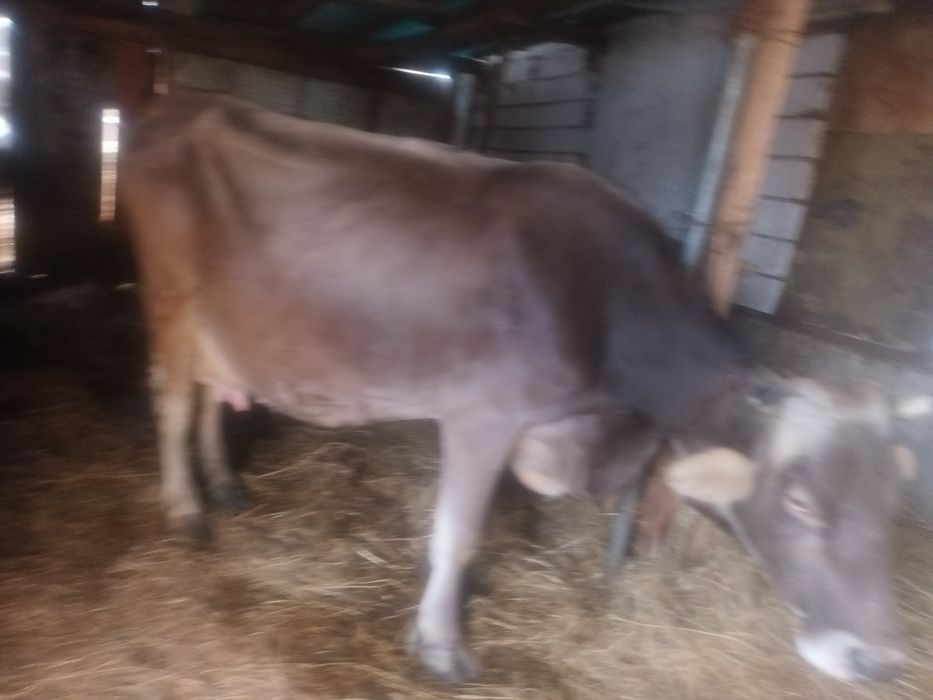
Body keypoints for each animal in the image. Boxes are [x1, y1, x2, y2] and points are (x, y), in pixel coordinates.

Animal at [121, 93, 913, 684]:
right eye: (800, 502)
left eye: (892, 503)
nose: (876, 661)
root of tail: (177, 110)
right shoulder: (481, 415)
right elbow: (458, 532)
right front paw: (442, 646)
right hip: (172, 297)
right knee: (172, 398)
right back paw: (187, 510)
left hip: (223, 322)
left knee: (210, 396)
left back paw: (225, 487)